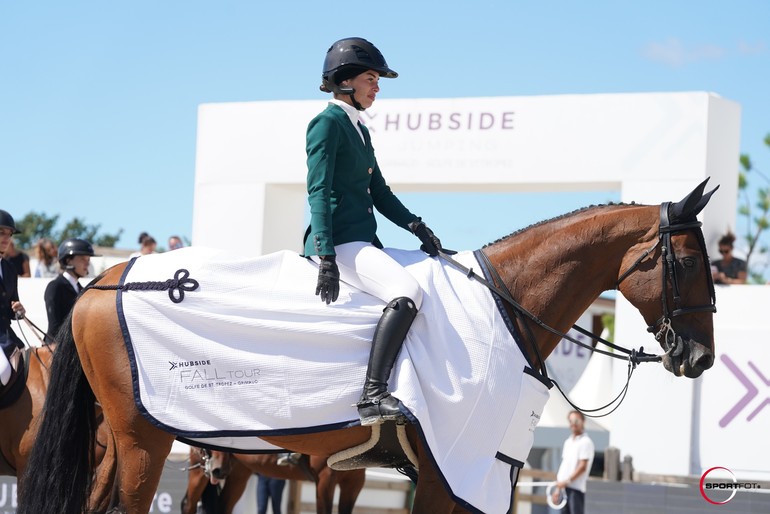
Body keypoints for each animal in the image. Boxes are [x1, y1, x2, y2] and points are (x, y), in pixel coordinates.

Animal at [180, 448, 364, 512]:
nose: (217, 469)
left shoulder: (353, 484)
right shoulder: (325, 480)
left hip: (238, 473)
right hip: (201, 469)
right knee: (188, 504)